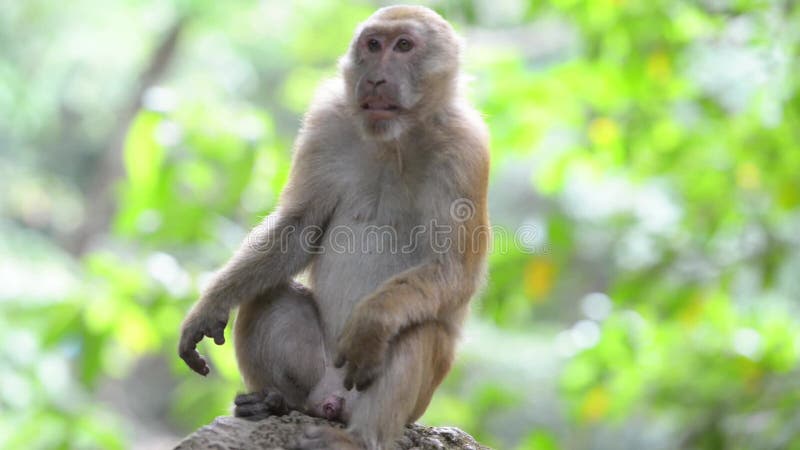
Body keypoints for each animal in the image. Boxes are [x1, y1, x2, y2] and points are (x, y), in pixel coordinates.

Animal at [178, 4, 490, 450]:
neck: (394, 139)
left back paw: (359, 438)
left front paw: (372, 322)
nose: (375, 78)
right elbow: (298, 227)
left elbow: (455, 269)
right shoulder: (326, 121)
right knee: (269, 295)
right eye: (373, 45)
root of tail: (331, 401)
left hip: (397, 399)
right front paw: (209, 308)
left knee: (415, 329)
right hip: (319, 371)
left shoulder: (466, 150)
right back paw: (275, 402)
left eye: (404, 45)